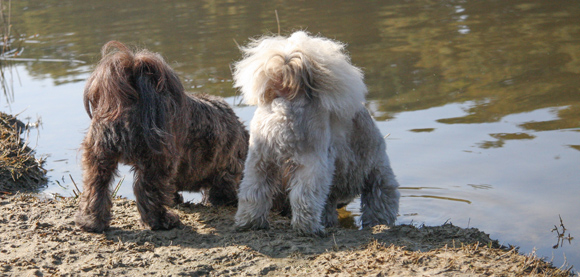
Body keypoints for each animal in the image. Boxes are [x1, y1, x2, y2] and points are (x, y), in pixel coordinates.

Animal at [74, 41, 247, 231]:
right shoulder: (229, 167)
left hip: (99, 157)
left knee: (96, 188)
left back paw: (91, 221)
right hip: (156, 161)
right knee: (147, 192)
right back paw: (161, 220)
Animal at [231, 30, 398, 235]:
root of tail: (284, 105)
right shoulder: (378, 171)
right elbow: (381, 199)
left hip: (259, 162)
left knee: (253, 192)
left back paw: (249, 223)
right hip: (310, 163)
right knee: (304, 197)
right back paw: (310, 229)